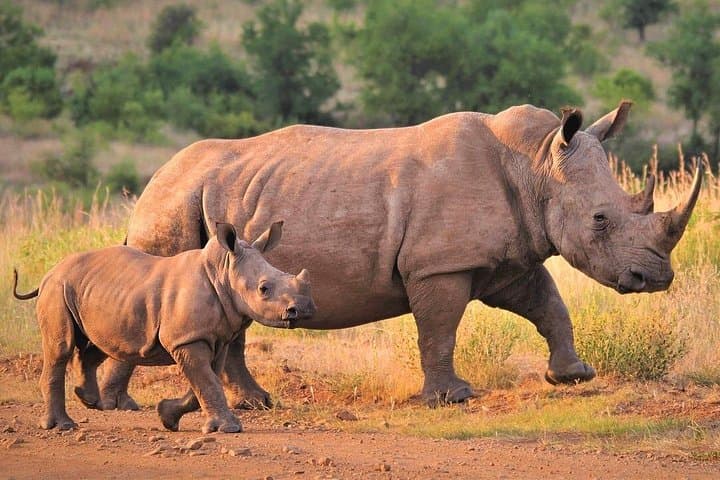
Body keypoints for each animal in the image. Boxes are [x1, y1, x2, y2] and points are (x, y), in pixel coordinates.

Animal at [13, 222, 315, 432]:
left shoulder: (214, 338)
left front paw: (167, 416)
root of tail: (49, 272)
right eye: (264, 289)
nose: (304, 309)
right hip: (57, 289)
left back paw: (89, 400)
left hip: (94, 293)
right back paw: (63, 426)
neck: (222, 272)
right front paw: (230, 428)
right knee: (61, 348)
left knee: (101, 343)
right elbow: (207, 382)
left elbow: (205, 382)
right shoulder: (187, 339)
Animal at [95, 101, 701, 409]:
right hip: (174, 204)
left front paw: (572, 376)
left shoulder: (508, 259)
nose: (655, 277)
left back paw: (256, 405)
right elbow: (439, 328)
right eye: (601, 220)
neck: (535, 165)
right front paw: (451, 399)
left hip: (214, 203)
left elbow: (549, 305)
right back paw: (117, 406)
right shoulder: (440, 263)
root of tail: (153, 179)